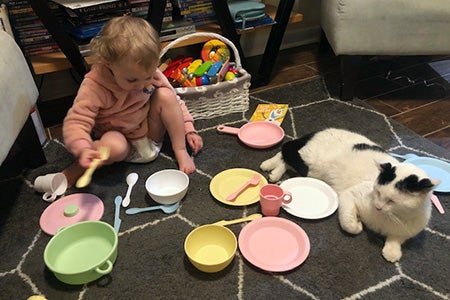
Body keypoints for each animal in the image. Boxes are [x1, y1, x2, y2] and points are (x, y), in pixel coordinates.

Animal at [260, 129, 440, 262]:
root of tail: (319, 131)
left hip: (313, 169)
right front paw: (358, 224)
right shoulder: (349, 196)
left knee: (286, 157)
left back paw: (273, 171)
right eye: (377, 192)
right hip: (311, 162)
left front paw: (392, 251)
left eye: (392, 201)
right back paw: (269, 166)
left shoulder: (406, 231)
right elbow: (348, 225)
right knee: (286, 150)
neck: (390, 217)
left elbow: (396, 239)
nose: (378, 206)